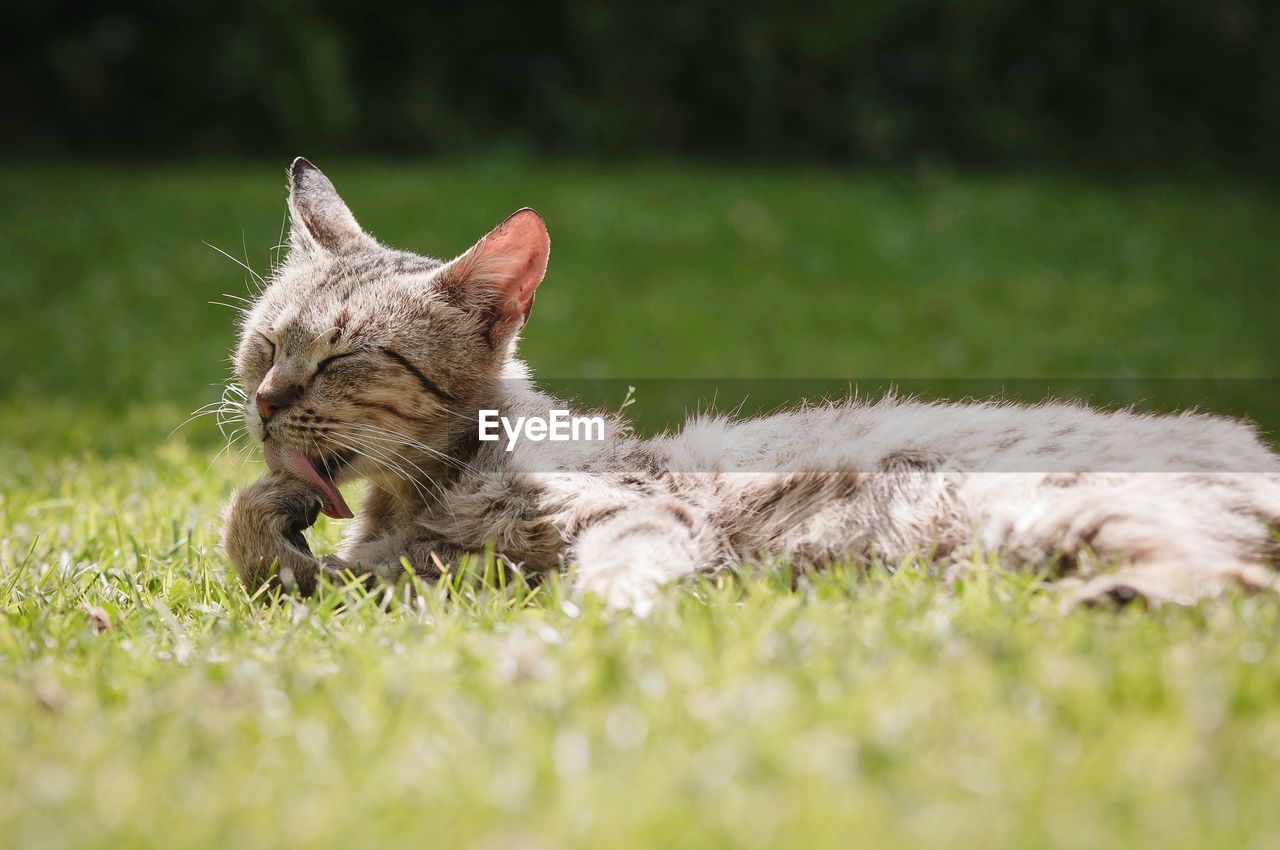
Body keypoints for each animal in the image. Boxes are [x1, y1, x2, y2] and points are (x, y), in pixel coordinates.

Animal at [220, 157, 1280, 611]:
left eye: (344, 357)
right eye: (263, 347)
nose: (265, 404)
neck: (422, 496)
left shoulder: (642, 513)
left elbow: (611, 579)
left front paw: (571, 640)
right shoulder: (386, 578)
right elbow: (257, 547)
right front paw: (272, 514)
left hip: (1054, 512)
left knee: (1237, 586)